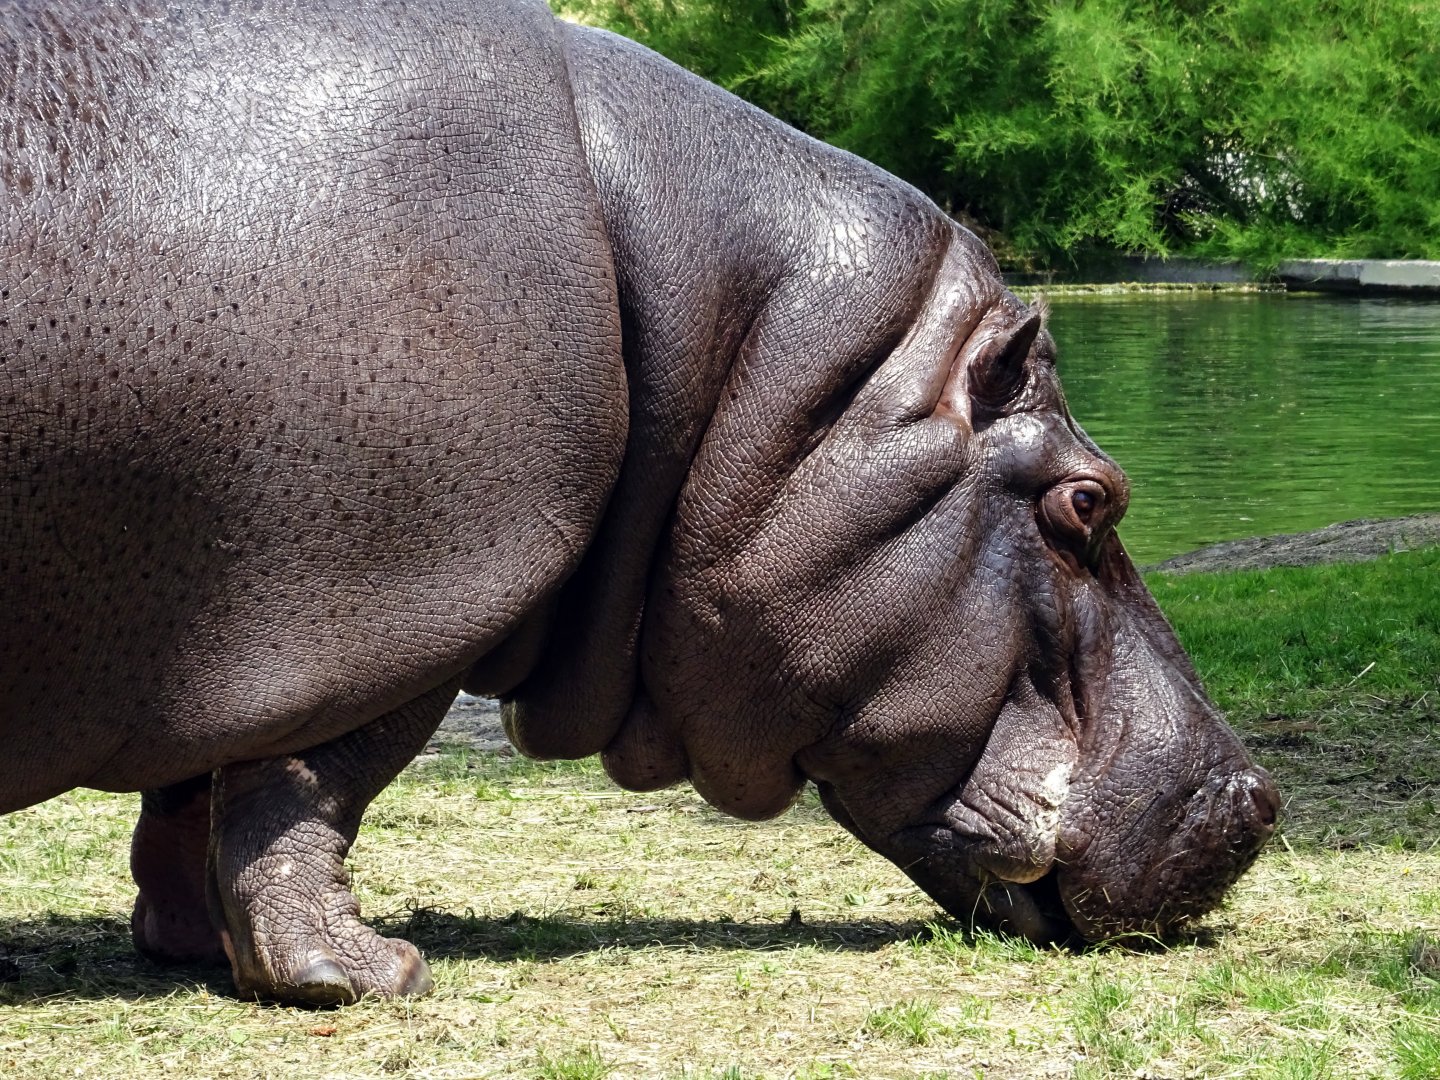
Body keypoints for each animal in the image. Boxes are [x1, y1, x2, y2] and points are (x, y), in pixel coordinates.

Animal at [0, 0, 1278, 1005]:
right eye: (1091, 500)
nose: (1258, 798)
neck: (757, 362)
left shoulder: (211, 636)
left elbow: (191, 786)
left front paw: (189, 948)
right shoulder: (372, 607)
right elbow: (308, 787)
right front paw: (366, 977)